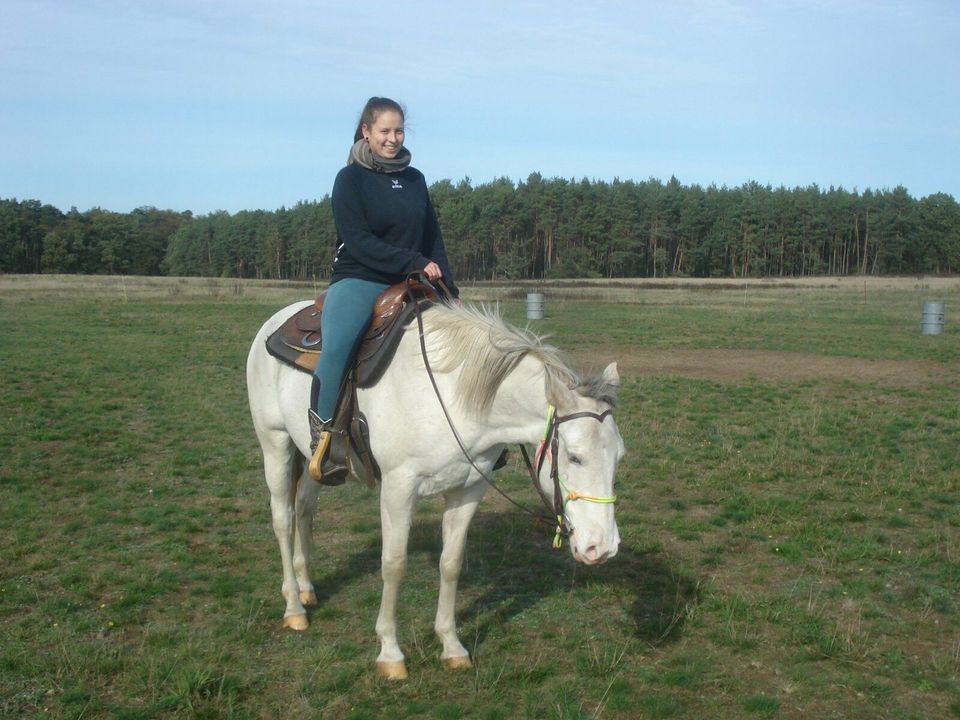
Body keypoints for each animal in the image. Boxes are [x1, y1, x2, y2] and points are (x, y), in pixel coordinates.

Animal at [244, 300, 628, 680]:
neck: (451, 397)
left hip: (314, 460)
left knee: (305, 510)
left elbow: (451, 563)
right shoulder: (398, 490)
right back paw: (294, 607)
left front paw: (451, 645)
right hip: (275, 443)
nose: (602, 547)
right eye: (575, 457)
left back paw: (307, 588)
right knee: (283, 519)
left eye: (620, 457)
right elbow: (394, 565)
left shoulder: (468, 490)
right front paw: (390, 652)